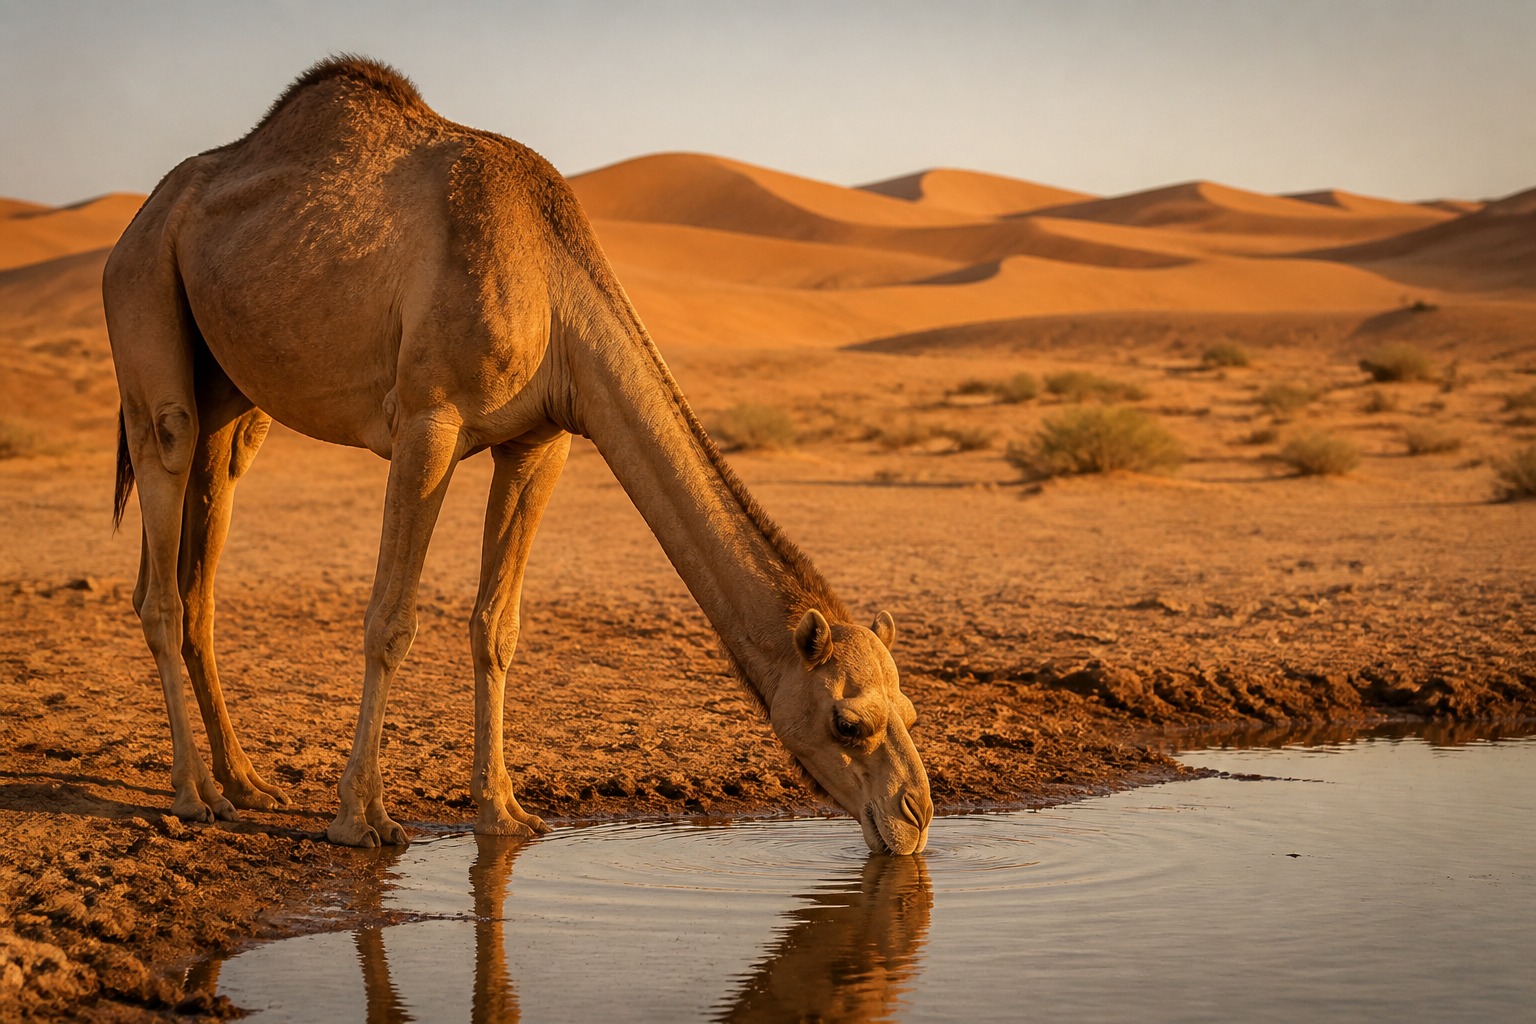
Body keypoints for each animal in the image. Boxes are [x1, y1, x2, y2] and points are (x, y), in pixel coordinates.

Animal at [103, 56, 932, 855]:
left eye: (911, 711)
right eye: (848, 722)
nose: (916, 815)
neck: (553, 289)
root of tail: (137, 221)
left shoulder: (542, 440)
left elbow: (496, 627)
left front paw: (502, 812)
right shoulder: (428, 421)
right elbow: (391, 620)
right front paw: (361, 819)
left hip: (234, 397)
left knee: (200, 564)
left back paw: (245, 782)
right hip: (147, 310)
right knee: (163, 547)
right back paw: (195, 795)